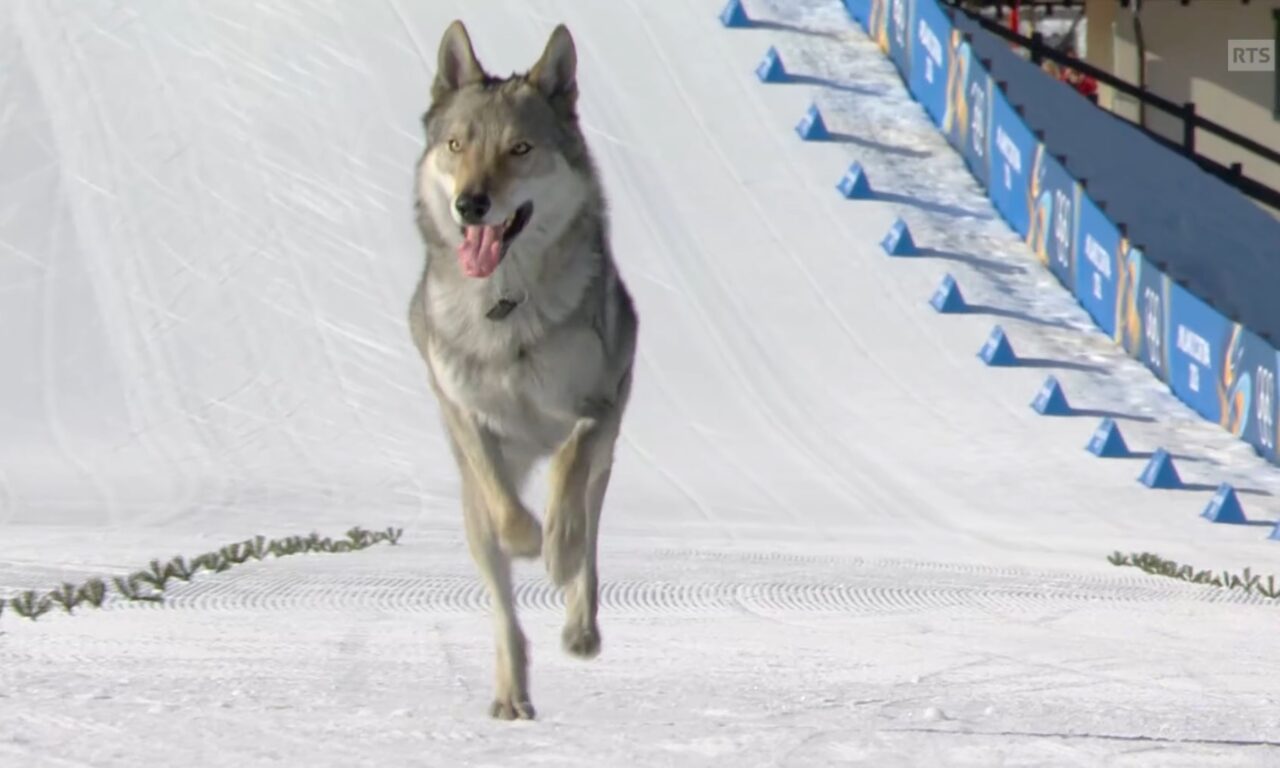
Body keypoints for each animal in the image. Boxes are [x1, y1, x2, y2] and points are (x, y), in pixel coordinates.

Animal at [407, 19, 638, 721]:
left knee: (588, 536)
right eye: (457, 144)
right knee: (504, 613)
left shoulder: (597, 408)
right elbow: (504, 503)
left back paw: (580, 624)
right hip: (470, 518)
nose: (471, 204)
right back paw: (511, 696)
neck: (505, 312)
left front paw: (553, 548)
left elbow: (567, 470)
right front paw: (527, 537)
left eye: (520, 148)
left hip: (607, 460)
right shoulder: (464, 414)